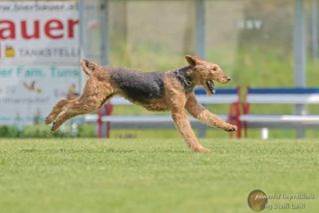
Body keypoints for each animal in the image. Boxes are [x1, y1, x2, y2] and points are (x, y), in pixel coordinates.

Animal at [46, 54, 239, 152]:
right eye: (213, 68)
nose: (228, 78)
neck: (184, 79)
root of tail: (97, 69)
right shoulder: (178, 112)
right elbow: (188, 132)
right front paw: (200, 149)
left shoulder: (193, 107)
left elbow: (210, 117)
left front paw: (230, 127)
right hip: (92, 101)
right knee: (67, 106)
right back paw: (53, 122)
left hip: (96, 100)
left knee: (65, 102)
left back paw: (51, 121)